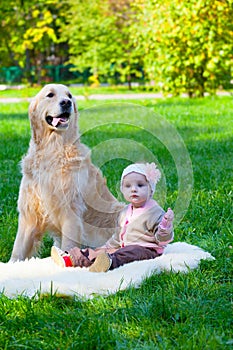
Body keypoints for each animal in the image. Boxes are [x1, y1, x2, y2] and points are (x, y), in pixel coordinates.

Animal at [10, 83, 124, 262]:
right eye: (50, 95)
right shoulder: (29, 214)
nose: (66, 103)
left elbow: (69, 246)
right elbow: (17, 251)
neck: (53, 148)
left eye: (69, 96)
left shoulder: (70, 212)